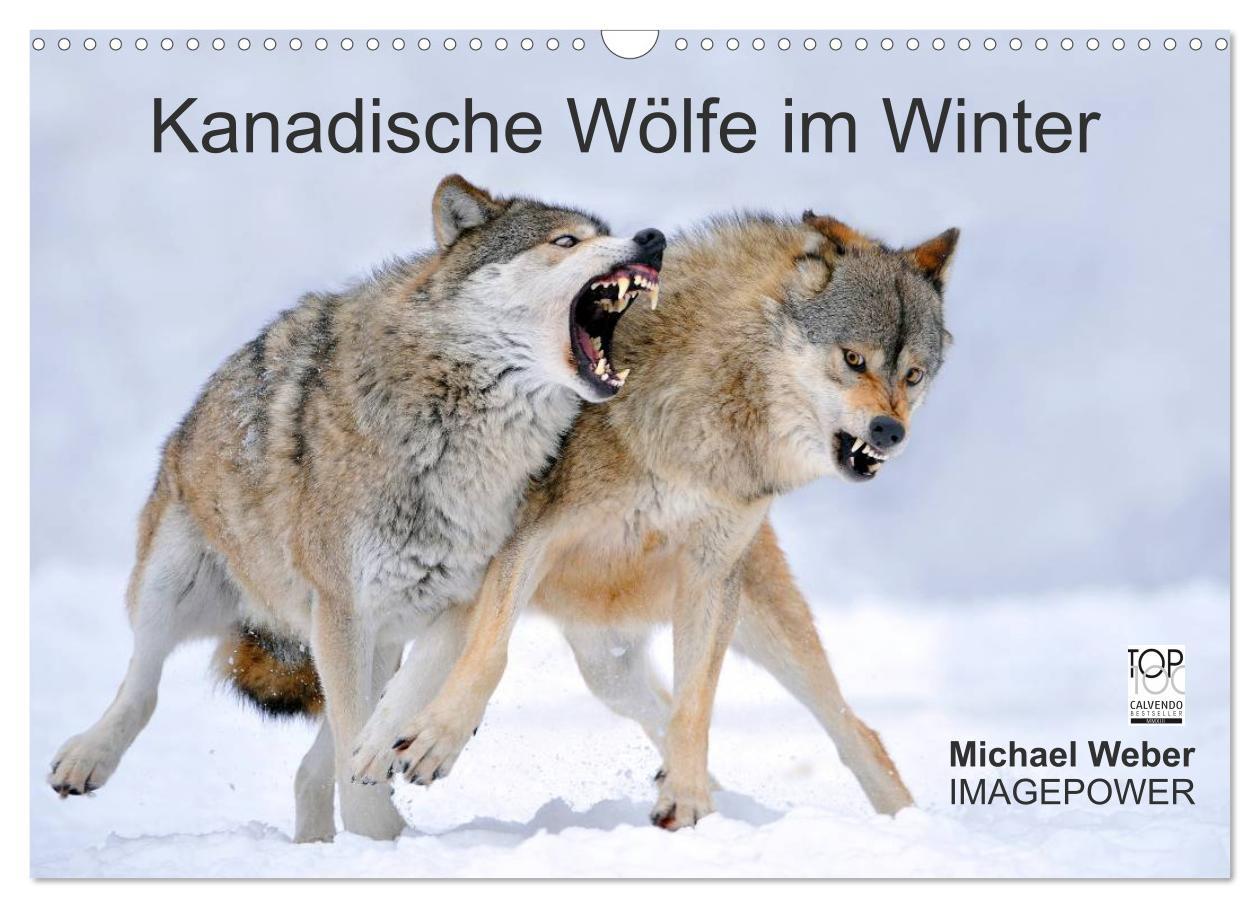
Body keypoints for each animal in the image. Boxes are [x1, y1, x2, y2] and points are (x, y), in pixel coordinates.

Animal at [47, 174, 666, 841]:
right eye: (566, 241)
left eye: (606, 233)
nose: (653, 239)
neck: (457, 432)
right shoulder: (343, 605)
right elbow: (351, 743)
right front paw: (380, 838)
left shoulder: (464, 596)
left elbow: (400, 702)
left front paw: (391, 767)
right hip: (177, 582)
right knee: (143, 680)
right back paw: (86, 757)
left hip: (368, 640)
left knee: (310, 764)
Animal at [341, 210, 958, 830]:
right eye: (853, 359)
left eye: (913, 375)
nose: (889, 431)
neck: (712, 414)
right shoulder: (531, 536)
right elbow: (491, 651)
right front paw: (437, 739)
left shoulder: (710, 576)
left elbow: (695, 706)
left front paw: (685, 799)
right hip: (610, 665)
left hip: (741, 629)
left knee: (855, 730)